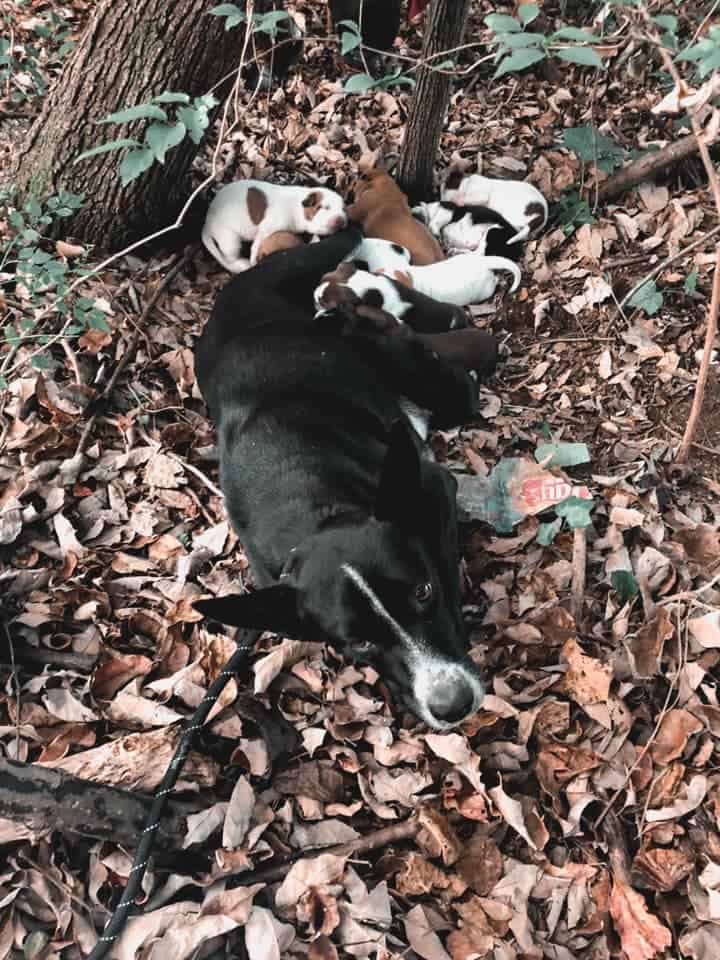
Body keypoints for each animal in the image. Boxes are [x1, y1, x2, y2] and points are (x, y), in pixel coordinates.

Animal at [202, 180, 348, 272]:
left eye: (343, 208)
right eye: (325, 207)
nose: (341, 220)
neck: (296, 206)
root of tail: (207, 222)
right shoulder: (266, 228)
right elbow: (256, 246)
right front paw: (253, 261)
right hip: (230, 240)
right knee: (230, 257)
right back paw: (242, 263)